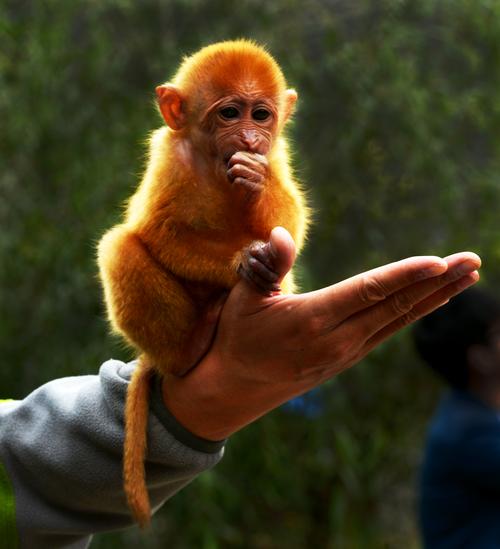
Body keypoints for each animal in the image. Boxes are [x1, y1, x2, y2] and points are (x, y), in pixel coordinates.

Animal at [97, 39, 308, 528]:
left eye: (260, 115)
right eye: (230, 113)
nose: (249, 139)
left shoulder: (276, 153)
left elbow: (289, 220)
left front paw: (256, 183)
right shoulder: (169, 154)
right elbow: (159, 233)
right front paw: (243, 262)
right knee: (120, 245)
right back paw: (192, 345)